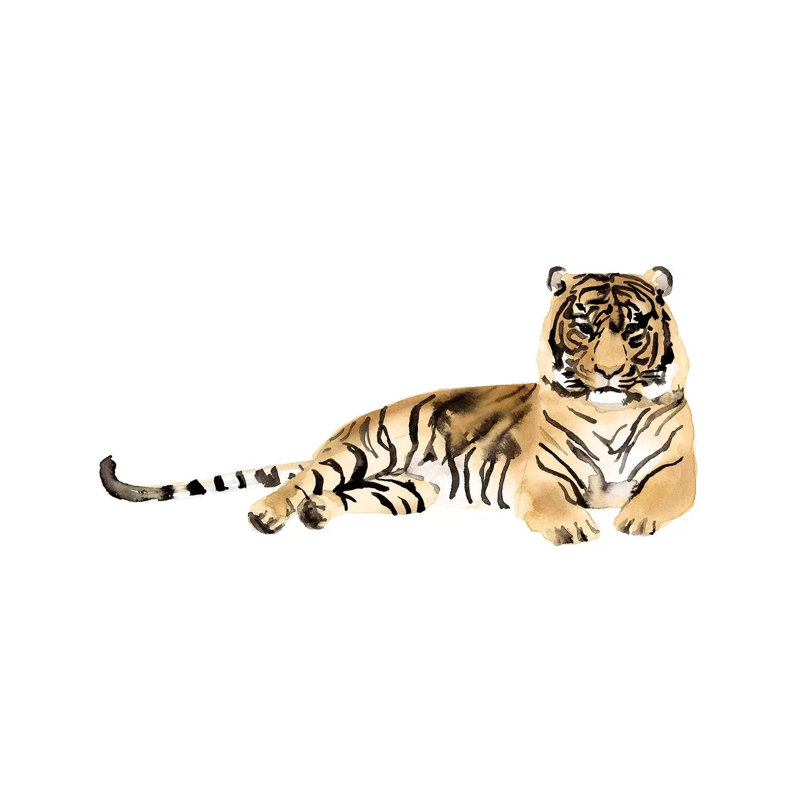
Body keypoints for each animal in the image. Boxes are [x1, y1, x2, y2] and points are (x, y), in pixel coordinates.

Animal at [100, 267, 695, 545]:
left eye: (635, 329)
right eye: (585, 326)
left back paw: (315, 514)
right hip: (364, 450)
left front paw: (634, 519)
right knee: (301, 479)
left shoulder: (678, 468)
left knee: (337, 495)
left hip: (407, 489)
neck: (612, 411)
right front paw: (575, 528)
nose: (610, 373)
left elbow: (660, 495)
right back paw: (267, 513)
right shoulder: (541, 477)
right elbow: (556, 505)